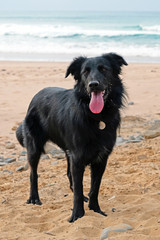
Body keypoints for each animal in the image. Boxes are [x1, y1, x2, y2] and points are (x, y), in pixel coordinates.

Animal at [15, 52, 127, 221]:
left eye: (104, 69)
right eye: (85, 72)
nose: (93, 85)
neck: (96, 117)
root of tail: (36, 96)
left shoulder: (101, 159)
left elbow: (94, 187)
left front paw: (95, 209)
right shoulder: (78, 157)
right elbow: (79, 190)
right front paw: (77, 215)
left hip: (68, 152)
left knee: (69, 175)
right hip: (34, 148)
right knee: (33, 174)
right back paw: (34, 198)